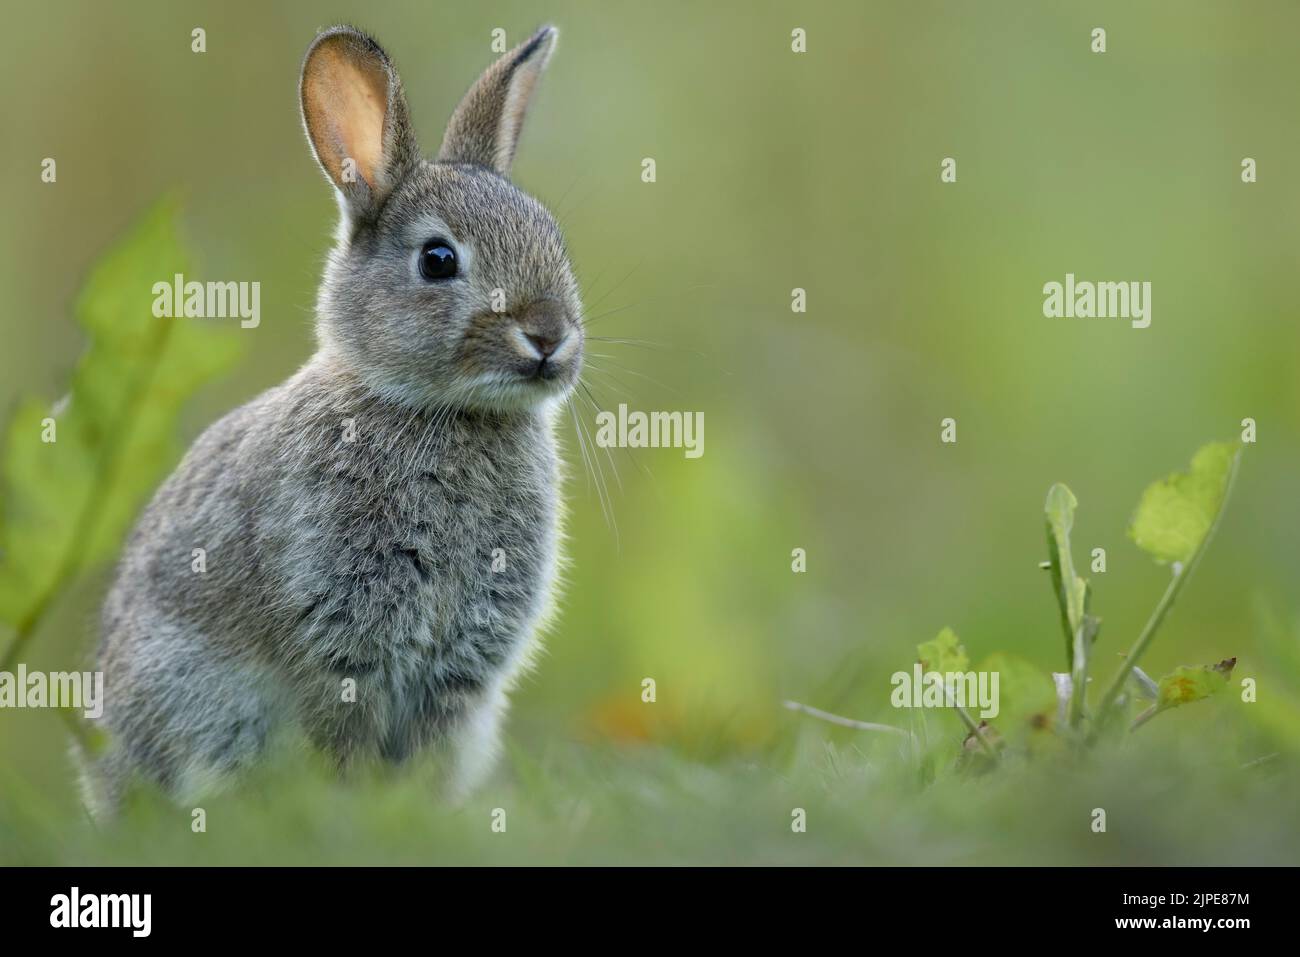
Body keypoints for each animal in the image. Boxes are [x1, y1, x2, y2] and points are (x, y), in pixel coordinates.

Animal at [79, 23, 583, 818]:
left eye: (553, 239)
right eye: (438, 260)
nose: (550, 336)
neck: (442, 410)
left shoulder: (461, 668)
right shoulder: (342, 637)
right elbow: (345, 737)